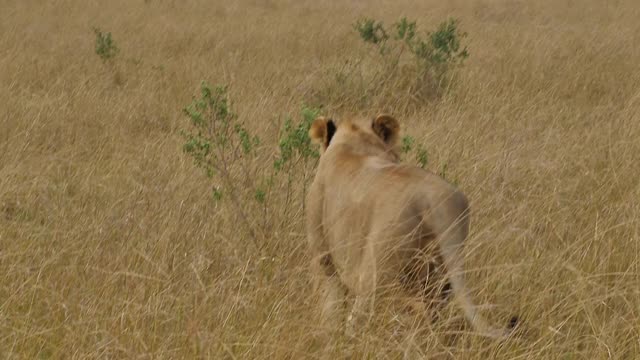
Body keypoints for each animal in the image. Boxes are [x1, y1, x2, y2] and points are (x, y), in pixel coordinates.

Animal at [306, 114, 516, 342]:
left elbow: (331, 305)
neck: (355, 143)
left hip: (377, 271)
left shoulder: (324, 258)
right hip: (440, 274)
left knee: (365, 314)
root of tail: (433, 199)